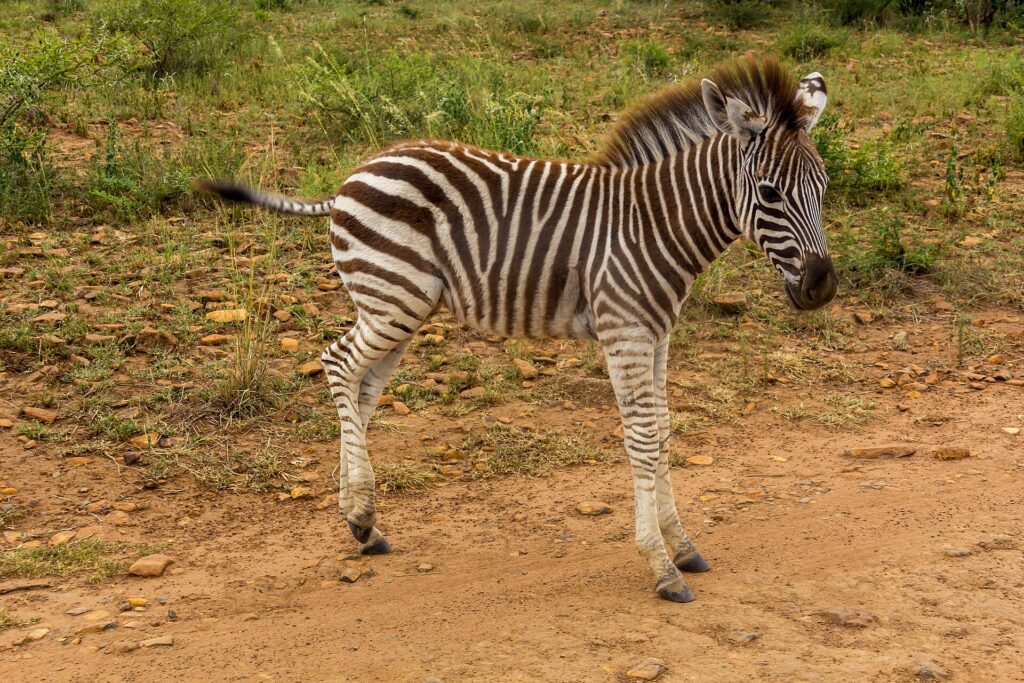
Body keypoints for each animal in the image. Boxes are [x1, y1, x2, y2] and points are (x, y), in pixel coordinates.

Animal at [198, 56, 837, 603]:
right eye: (769, 192)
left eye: (825, 187)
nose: (822, 288)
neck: (653, 224)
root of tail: (356, 174)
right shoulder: (626, 333)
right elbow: (642, 438)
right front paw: (660, 566)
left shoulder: (657, 336)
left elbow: (663, 431)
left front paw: (683, 546)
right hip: (393, 297)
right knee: (337, 363)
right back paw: (359, 513)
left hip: (397, 306)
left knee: (361, 384)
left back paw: (361, 519)